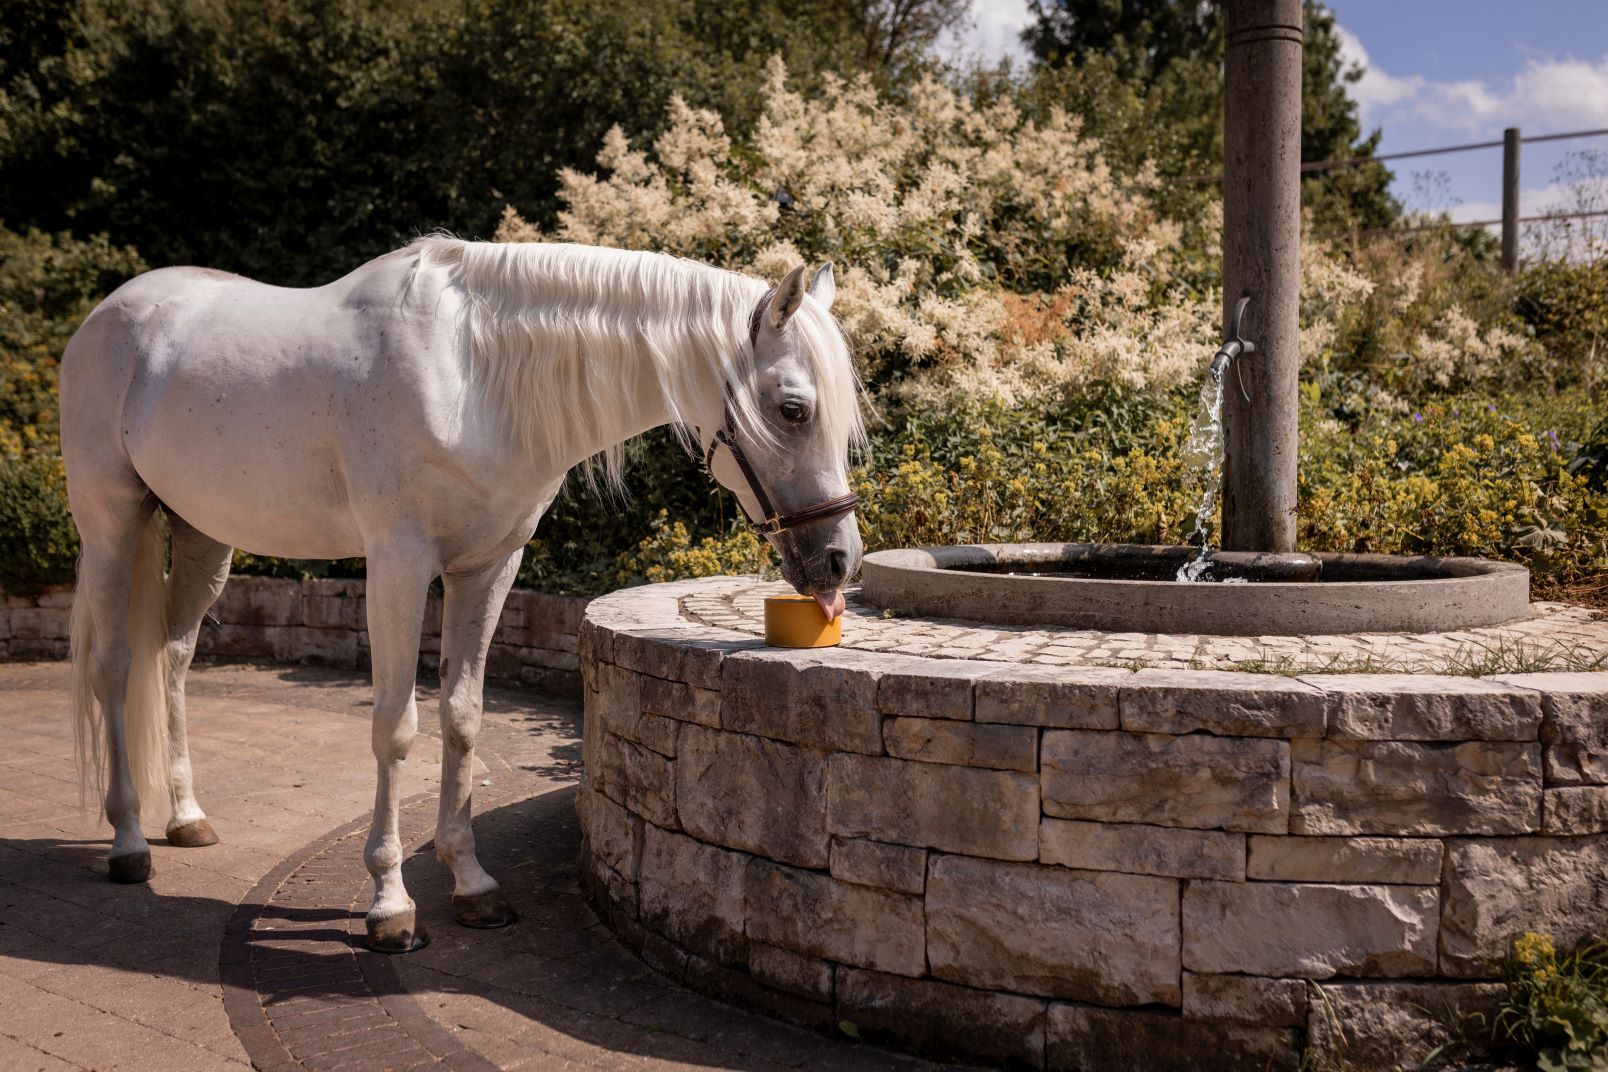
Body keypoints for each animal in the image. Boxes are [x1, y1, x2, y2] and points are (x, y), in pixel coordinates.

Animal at [59, 239, 868, 951]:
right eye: (793, 409)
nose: (838, 561)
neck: (470, 374)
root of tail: (106, 318)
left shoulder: (488, 567)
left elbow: (463, 716)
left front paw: (472, 883)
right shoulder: (398, 564)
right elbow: (396, 727)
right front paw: (390, 905)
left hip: (203, 535)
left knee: (172, 658)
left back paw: (186, 816)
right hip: (112, 525)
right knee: (115, 669)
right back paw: (129, 841)